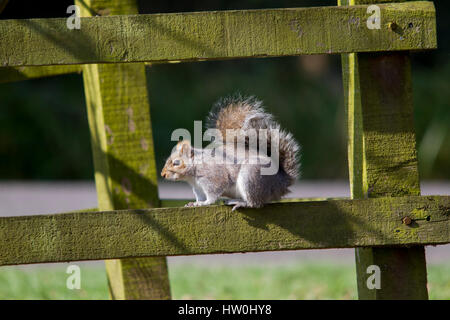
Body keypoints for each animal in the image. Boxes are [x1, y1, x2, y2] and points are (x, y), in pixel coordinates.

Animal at [160, 94, 300, 211]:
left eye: (176, 163)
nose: (162, 174)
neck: (192, 174)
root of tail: (281, 182)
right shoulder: (197, 187)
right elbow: (200, 196)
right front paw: (195, 203)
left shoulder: (213, 178)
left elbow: (213, 194)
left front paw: (205, 203)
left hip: (251, 176)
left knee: (255, 203)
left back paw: (241, 203)